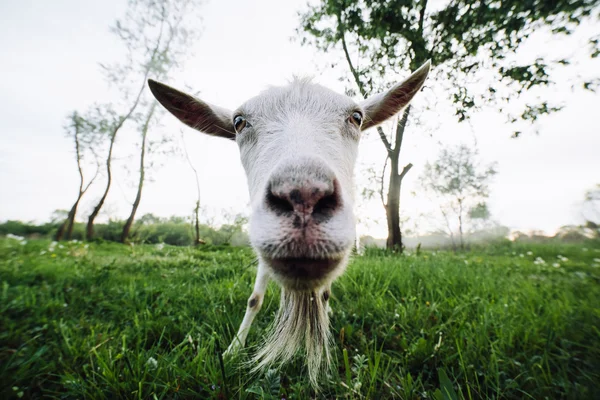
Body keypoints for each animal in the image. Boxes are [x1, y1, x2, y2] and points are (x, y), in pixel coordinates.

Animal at [150, 63, 432, 388]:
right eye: (238, 122)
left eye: (356, 117)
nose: (303, 197)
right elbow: (254, 299)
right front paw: (233, 350)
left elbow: (325, 294)